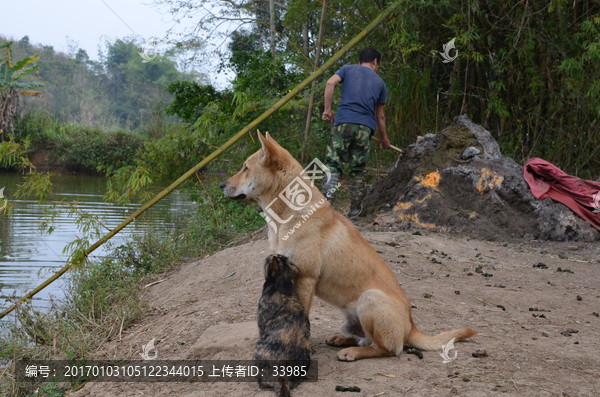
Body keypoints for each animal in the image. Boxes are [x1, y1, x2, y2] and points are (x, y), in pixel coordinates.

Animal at [253, 254, 312, 396]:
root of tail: (281, 374)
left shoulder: (261, 324)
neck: (279, 287)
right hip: (307, 357)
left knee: (263, 384)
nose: (269, 255)